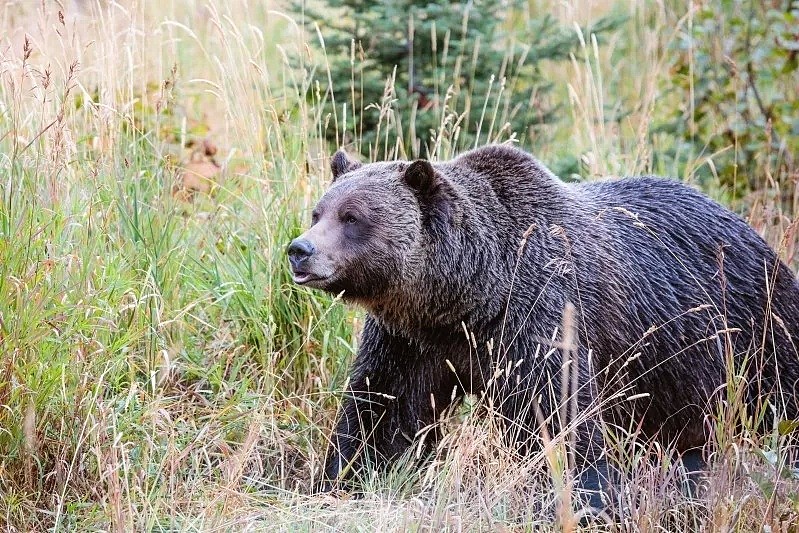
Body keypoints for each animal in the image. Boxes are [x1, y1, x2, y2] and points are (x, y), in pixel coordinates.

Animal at [288, 143, 799, 510]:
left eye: (352, 217)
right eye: (318, 211)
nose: (300, 250)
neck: (469, 298)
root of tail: (748, 226)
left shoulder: (540, 311)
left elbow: (559, 411)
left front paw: (586, 495)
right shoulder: (411, 339)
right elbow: (383, 408)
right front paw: (343, 476)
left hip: (747, 326)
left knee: (779, 397)